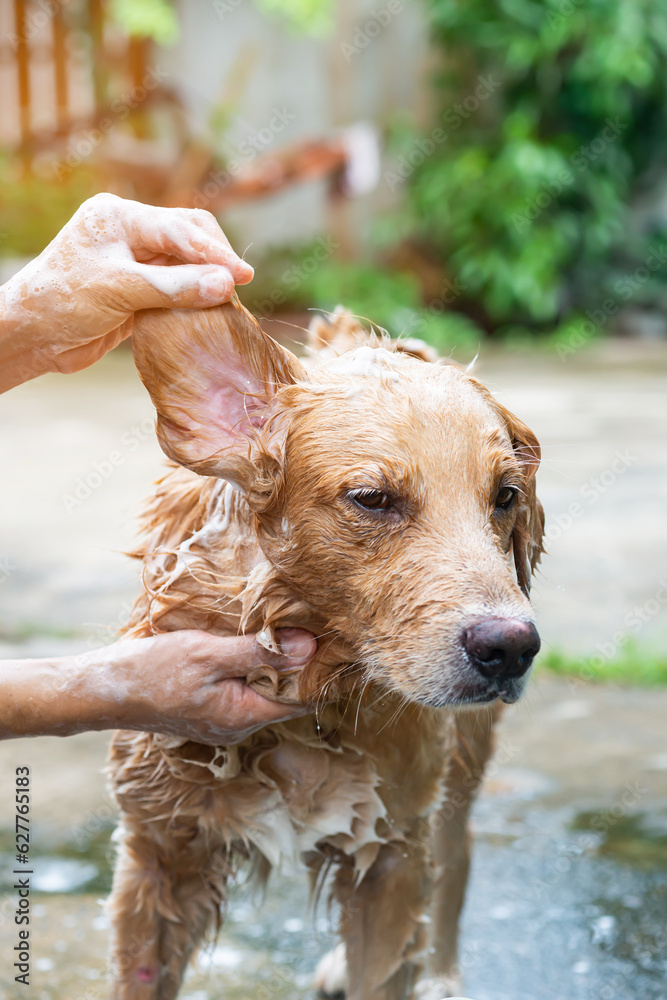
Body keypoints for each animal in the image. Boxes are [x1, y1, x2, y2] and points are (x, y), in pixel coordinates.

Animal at [105, 292, 544, 996]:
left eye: (505, 496)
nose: (510, 647)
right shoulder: (159, 848)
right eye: (372, 499)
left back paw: (440, 973)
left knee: (456, 854)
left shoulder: (394, 857)